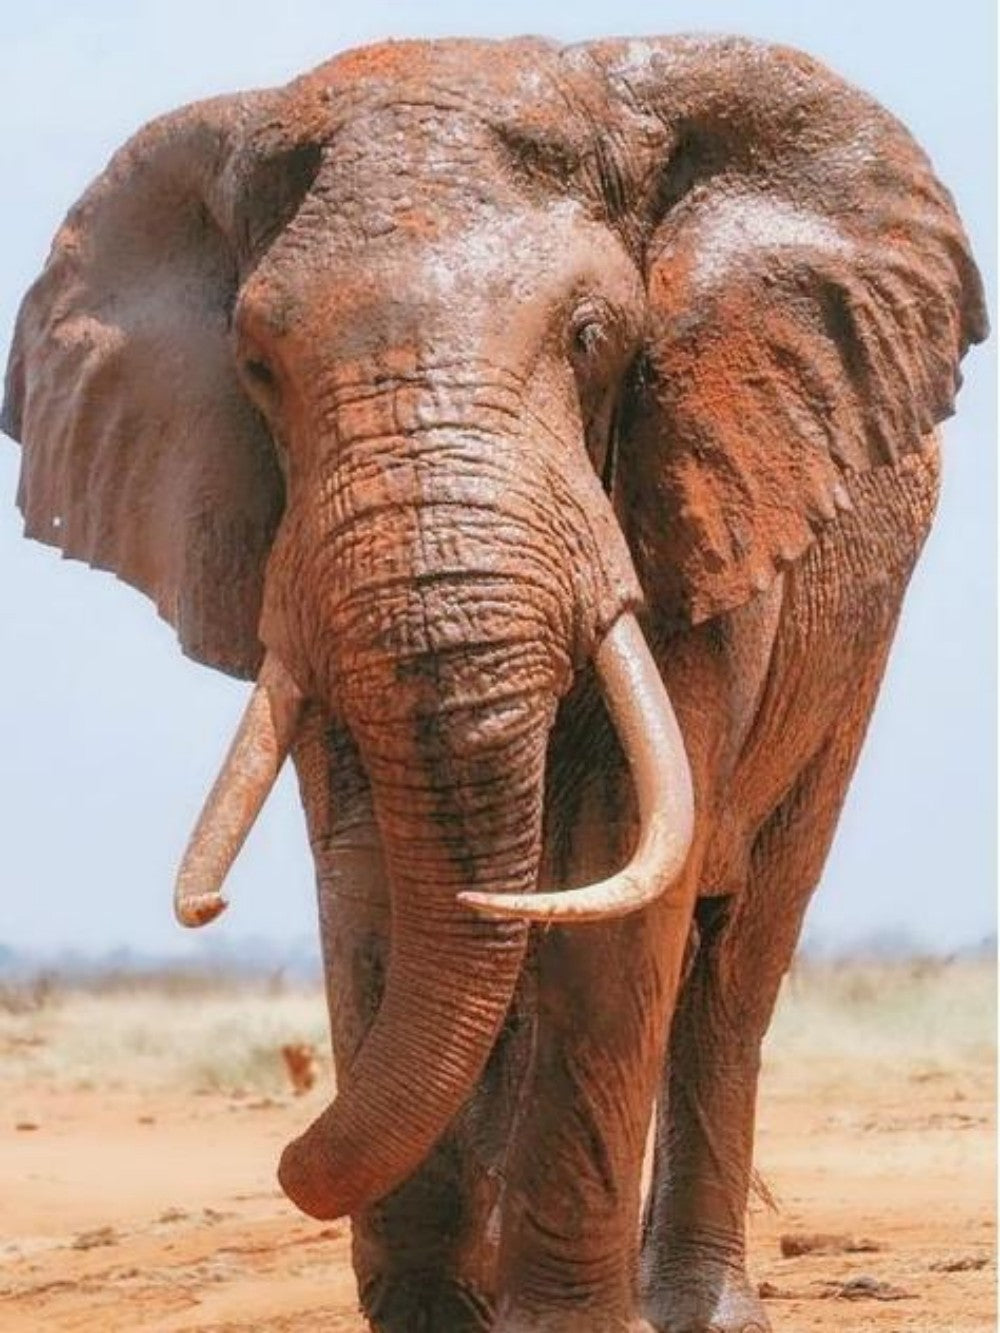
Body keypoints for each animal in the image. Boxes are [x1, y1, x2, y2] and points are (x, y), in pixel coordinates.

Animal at [3, 33, 986, 1333]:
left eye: (588, 337)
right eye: (255, 365)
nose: (286, 1157)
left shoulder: (698, 489)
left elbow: (615, 872)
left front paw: (563, 1325)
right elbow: (370, 879)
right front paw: (437, 1317)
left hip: (853, 637)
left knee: (738, 958)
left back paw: (699, 1310)